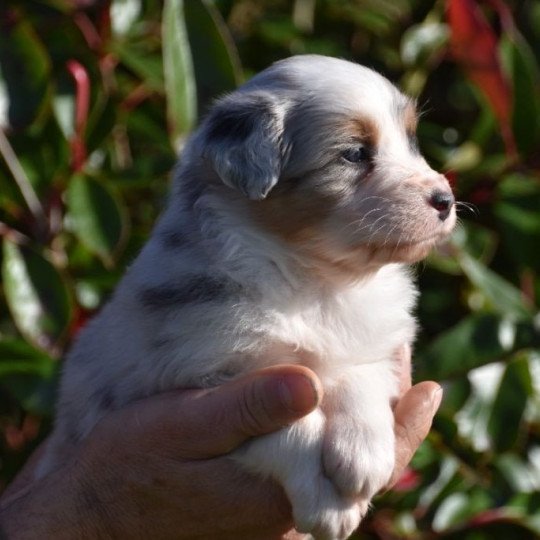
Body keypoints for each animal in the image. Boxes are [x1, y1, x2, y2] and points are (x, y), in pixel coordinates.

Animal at [39, 56, 456, 540]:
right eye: (354, 153)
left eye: (411, 140)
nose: (446, 199)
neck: (318, 282)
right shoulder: (207, 382)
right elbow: (291, 427)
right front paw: (326, 504)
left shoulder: (379, 339)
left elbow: (359, 371)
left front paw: (362, 455)